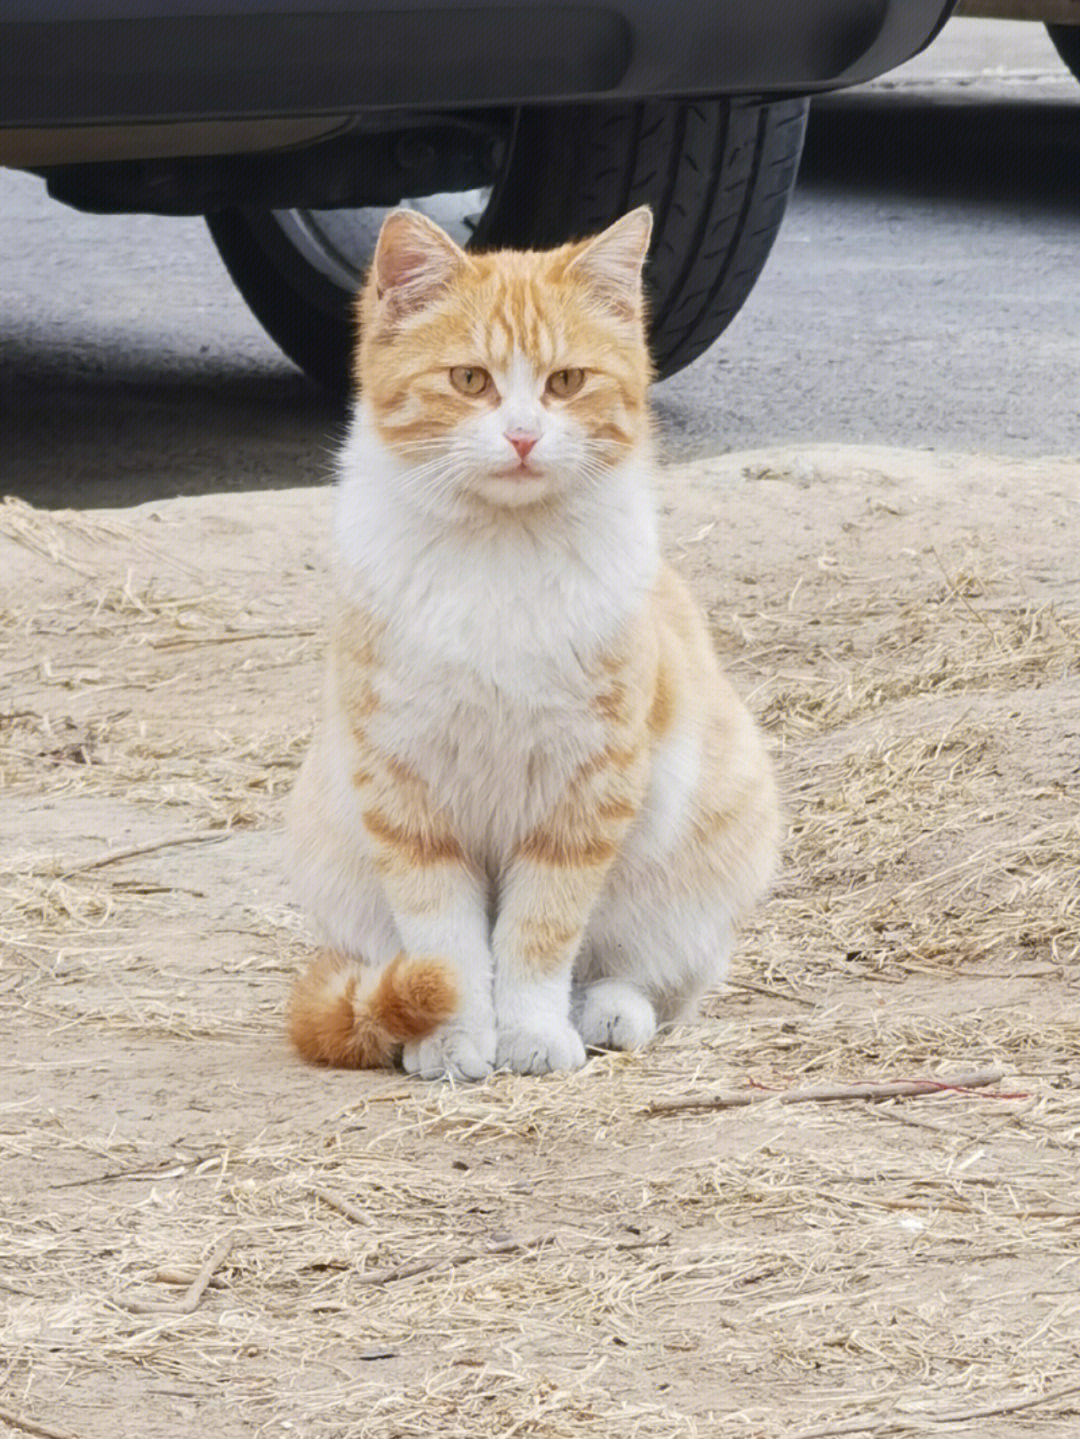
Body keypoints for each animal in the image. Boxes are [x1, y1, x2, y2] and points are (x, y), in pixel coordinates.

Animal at [287, 205, 776, 1082]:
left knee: (653, 975)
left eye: (566, 383)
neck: (500, 555)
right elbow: (446, 943)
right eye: (470, 381)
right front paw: (453, 1034)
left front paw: (534, 1034)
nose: (520, 437)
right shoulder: (409, 793)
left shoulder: (584, 793)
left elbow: (539, 936)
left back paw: (610, 1011)